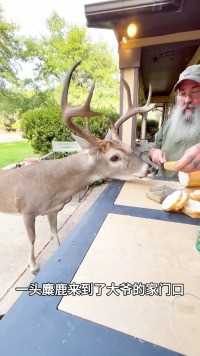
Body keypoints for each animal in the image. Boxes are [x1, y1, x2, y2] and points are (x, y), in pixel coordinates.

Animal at [0, 61, 155, 274]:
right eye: (114, 157)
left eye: (128, 147)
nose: (149, 168)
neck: (53, 186)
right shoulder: (27, 210)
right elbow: (32, 239)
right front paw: (33, 267)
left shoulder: (53, 210)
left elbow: (54, 234)